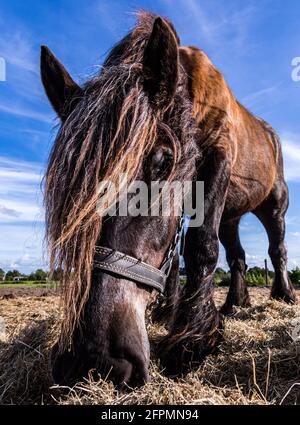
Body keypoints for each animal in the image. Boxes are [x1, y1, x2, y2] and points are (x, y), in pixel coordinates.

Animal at [40, 11, 298, 386]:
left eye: (162, 161)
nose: (94, 358)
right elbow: (175, 259)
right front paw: (169, 312)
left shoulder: (216, 161)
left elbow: (200, 245)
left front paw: (192, 340)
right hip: (231, 215)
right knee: (237, 256)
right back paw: (235, 303)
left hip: (274, 206)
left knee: (277, 249)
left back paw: (284, 295)